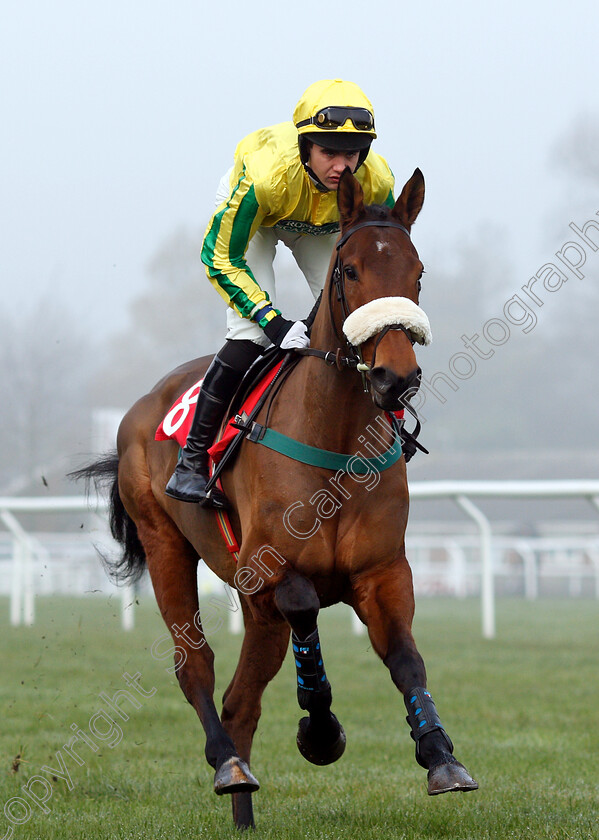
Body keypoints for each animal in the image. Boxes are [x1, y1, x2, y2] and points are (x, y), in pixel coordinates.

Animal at [77, 167, 478, 832]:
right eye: (350, 272)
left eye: (417, 272)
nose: (396, 377)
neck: (335, 444)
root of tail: (141, 406)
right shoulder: (268, 570)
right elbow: (304, 607)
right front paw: (320, 730)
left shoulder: (383, 571)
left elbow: (406, 658)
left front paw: (440, 755)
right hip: (166, 546)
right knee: (197, 667)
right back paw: (228, 765)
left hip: (252, 610)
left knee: (241, 701)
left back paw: (243, 811)